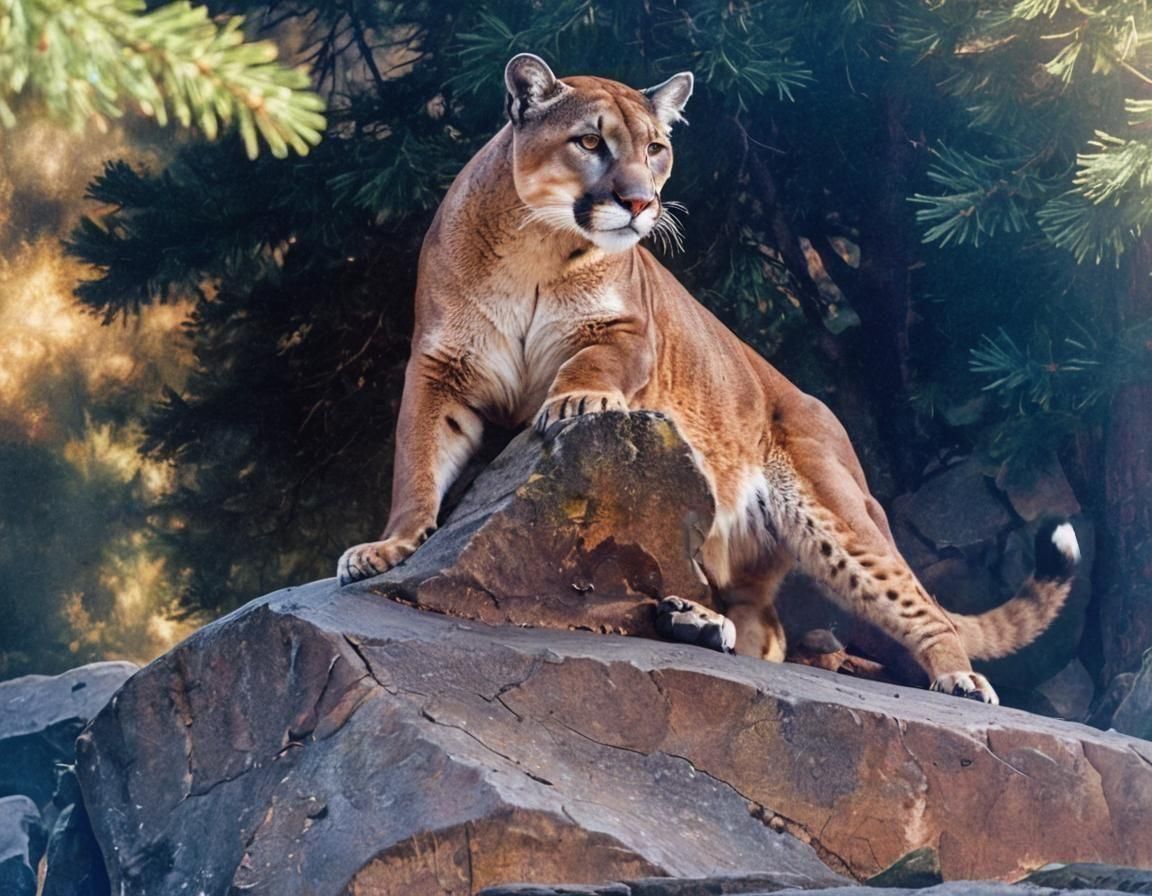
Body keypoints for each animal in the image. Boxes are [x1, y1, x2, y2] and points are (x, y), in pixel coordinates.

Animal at [337, 54, 1080, 704]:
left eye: (656, 148)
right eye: (589, 141)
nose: (640, 202)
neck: (536, 249)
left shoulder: (630, 332)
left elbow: (589, 361)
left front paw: (577, 398)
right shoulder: (439, 365)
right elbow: (417, 463)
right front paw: (389, 548)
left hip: (835, 508)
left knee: (918, 607)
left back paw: (960, 680)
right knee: (765, 629)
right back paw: (695, 622)